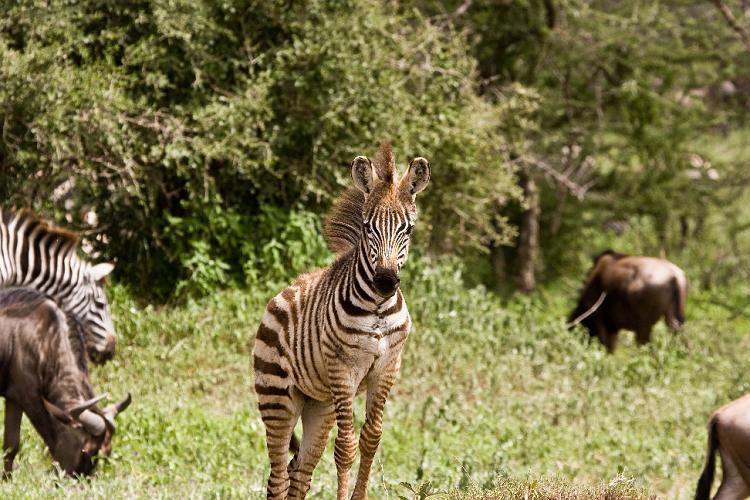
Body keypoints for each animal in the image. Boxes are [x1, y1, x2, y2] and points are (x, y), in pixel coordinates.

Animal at [253, 143, 428, 498]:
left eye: (407, 229)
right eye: (368, 227)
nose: (385, 282)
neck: (377, 308)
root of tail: (280, 295)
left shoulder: (387, 368)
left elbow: (371, 439)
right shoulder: (344, 369)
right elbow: (346, 446)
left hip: (319, 404)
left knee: (299, 472)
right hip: (277, 399)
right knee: (278, 477)